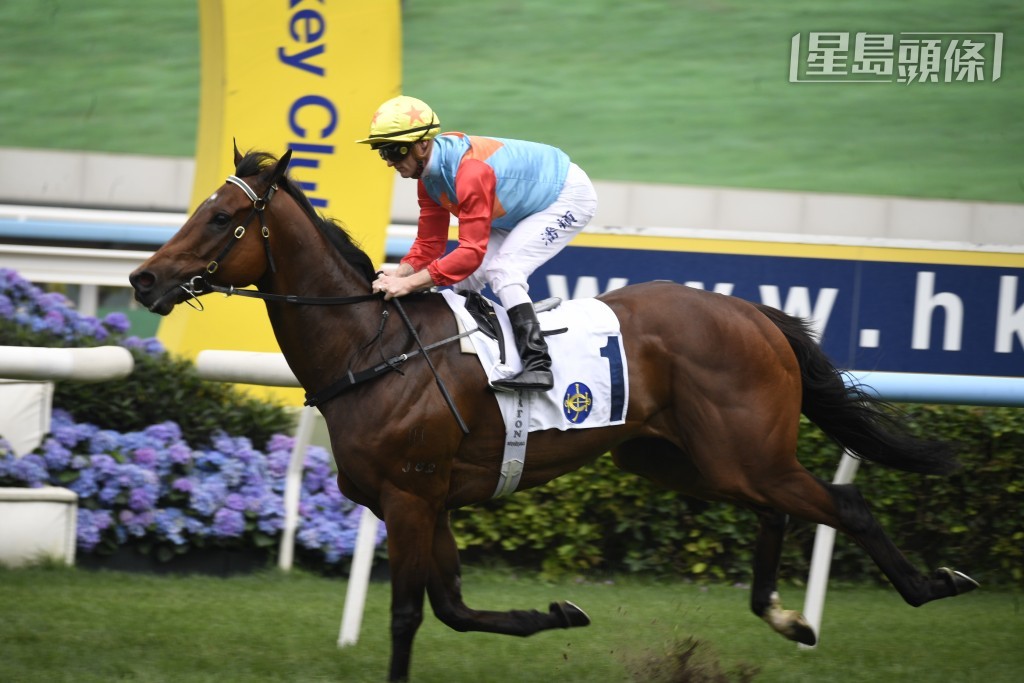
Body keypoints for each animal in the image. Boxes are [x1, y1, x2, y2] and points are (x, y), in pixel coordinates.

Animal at [129, 147, 978, 682]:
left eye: (219, 220)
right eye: (200, 208)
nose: (143, 279)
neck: (373, 347)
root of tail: (751, 312)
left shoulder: (410, 495)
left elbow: (408, 614)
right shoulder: (429, 500)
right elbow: (454, 608)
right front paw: (561, 612)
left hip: (741, 451)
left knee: (845, 501)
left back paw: (931, 583)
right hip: (688, 458)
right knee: (780, 509)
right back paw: (784, 615)